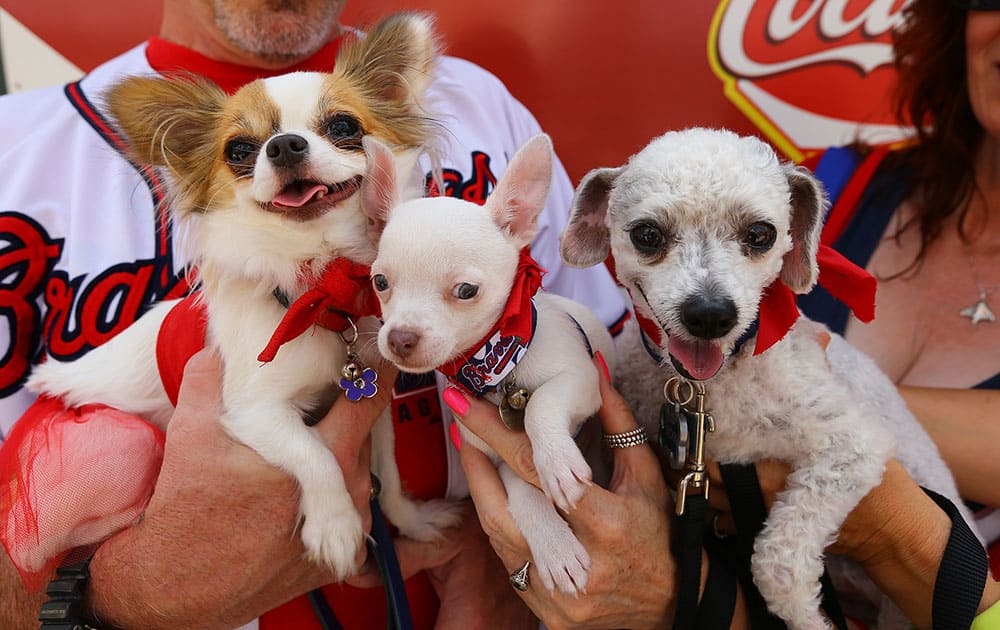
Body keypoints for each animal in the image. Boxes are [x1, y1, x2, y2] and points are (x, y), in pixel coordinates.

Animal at [25, 12, 458, 580]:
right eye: (239, 151)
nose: (284, 145)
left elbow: (388, 472)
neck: (318, 290)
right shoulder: (254, 412)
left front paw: (410, 519)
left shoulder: (370, 403)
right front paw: (336, 528)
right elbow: (315, 455)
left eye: (344, 127)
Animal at [356, 133, 612, 596]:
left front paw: (556, 462)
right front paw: (555, 547)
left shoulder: (583, 380)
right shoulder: (495, 457)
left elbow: (542, 405)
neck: (497, 365)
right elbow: (522, 491)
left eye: (466, 290)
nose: (400, 338)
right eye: (380, 282)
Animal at [560, 128, 980, 630]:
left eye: (760, 234)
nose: (710, 315)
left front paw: (808, 618)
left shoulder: (853, 445)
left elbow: (778, 561)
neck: (710, 389)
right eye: (647, 235)